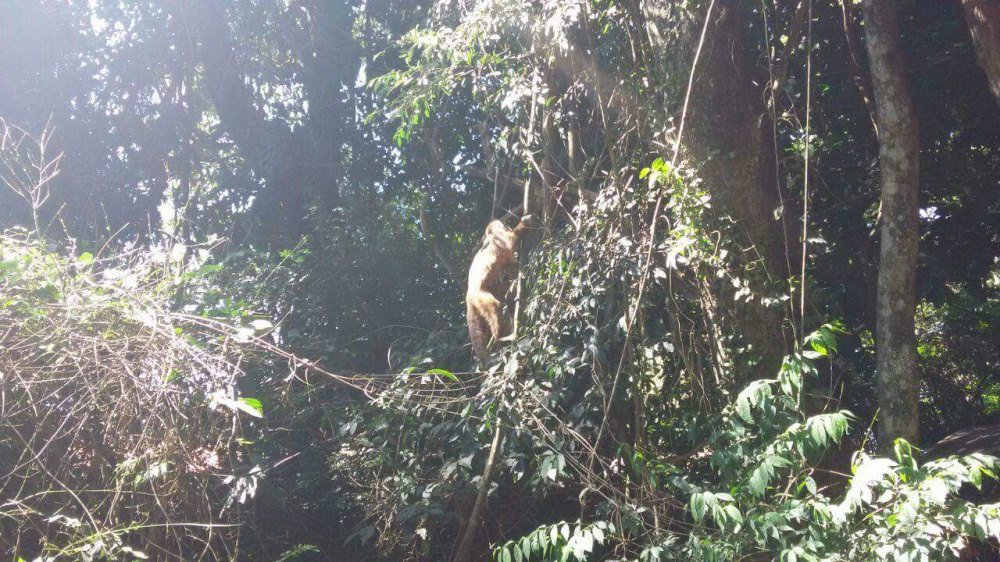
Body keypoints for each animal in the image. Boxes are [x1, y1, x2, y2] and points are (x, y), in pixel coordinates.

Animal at [466, 212, 540, 360]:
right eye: (504, 226)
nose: (507, 226)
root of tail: (469, 295)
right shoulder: (498, 238)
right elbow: (510, 241)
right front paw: (524, 222)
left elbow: (510, 266)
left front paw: (522, 271)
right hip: (480, 296)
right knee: (494, 306)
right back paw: (500, 336)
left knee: (508, 290)